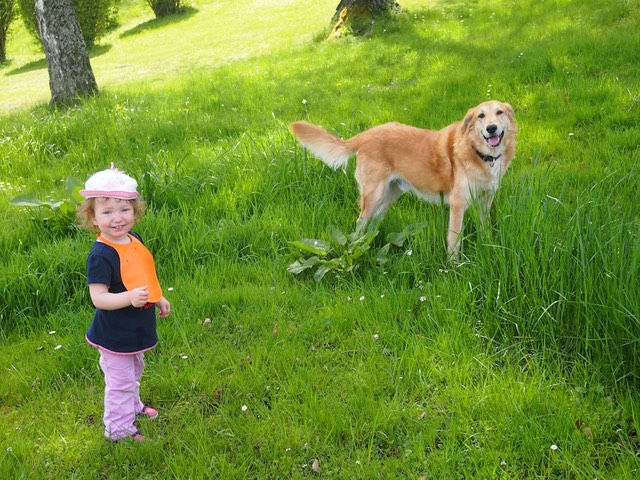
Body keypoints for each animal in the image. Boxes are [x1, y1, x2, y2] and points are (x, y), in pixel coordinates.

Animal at [290, 99, 516, 258]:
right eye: (480, 116)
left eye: (499, 112)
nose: (491, 128)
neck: (480, 154)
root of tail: (366, 134)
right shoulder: (458, 204)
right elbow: (454, 240)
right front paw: (453, 266)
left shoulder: (485, 200)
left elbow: (485, 229)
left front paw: (489, 247)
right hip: (374, 194)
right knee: (361, 220)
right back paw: (357, 245)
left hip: (389, 195)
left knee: (373, 222)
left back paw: (369, 243)